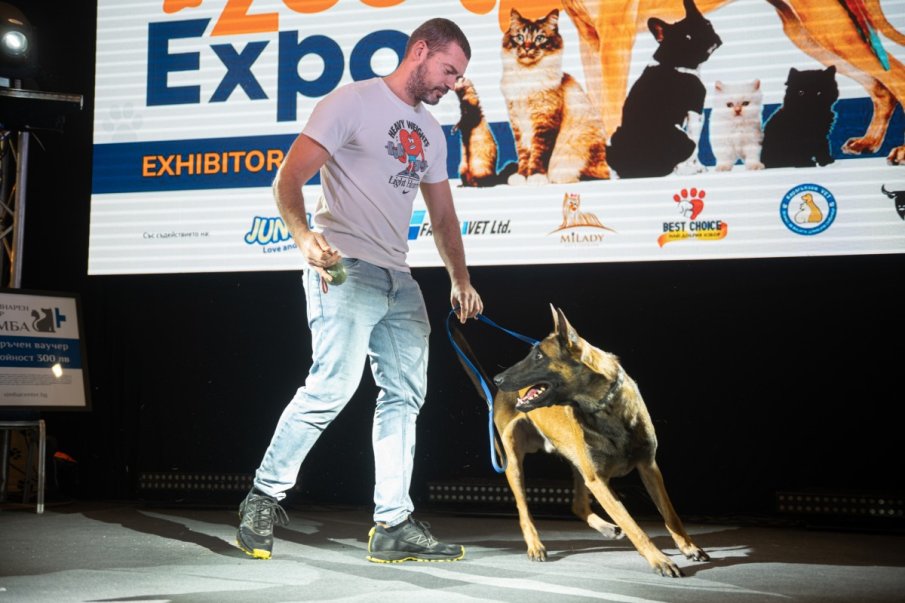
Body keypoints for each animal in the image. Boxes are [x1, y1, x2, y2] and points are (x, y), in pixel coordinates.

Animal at [456, 310, 704, 580]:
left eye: (539, 356)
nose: (498, 378)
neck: (604, 404)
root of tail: (497, 395)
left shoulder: (648, 467)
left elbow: (670, 514)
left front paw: (689, 547)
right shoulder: (598, 481)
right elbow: (633, 526)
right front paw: (659, 560)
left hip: (578, 466)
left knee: (578, 505)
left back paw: (606, 528)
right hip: (514, 463)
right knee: (524, 512)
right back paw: (535, 545)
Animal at [560, 0, 904, 163]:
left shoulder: (614, 38)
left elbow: (610, 109)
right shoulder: (589, 39)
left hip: (827, 26)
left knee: (896, 74)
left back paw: (898, 151)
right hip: (807, 30)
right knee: (881, 86)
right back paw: (869, 142)